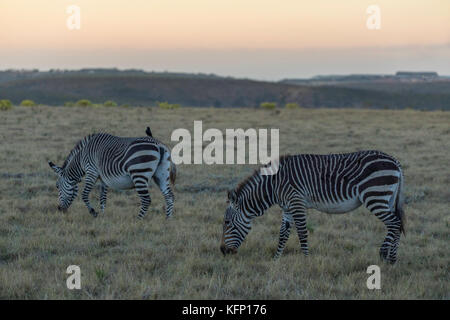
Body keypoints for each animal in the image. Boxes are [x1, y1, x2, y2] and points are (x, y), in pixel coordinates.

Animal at [48, 127, 176, 220]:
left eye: (57, 186)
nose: (59, 209)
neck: (81, 158)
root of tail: (159, 144)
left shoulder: (91, 172)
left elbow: (84, 195)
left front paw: (93, 212)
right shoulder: (103, 178)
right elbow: (103, 198)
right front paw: (103, 215)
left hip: (139, 174)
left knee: (146, 200)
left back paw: (137, 220)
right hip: (161, 175)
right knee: (169, 196)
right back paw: (168, 220)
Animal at [220, 151, 406, 264]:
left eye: (227, 223)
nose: (223, 251)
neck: (273, 185)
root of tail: (395, 161)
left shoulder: (297, 203)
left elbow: (302, 233)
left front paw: (306, 260)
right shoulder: (287, 208)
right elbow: (283, 235)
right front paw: (276, 259)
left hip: (375, 196)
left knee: (394, 223)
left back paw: (385, 256)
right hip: (387, 199)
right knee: (396, 224)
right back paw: (392, 260)